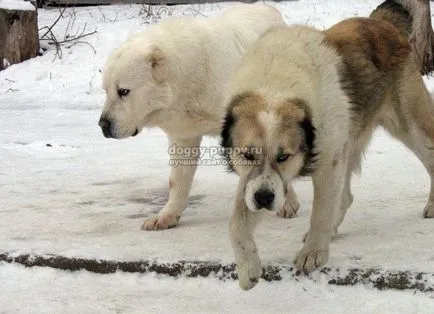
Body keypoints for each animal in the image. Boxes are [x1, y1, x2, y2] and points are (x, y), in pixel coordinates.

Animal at [98, 3, 288, 231]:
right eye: (106, 90)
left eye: (124, 91)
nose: (103, 125)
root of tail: (267, 7)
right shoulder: (182, 134)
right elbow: (177, 180)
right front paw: (167, 215)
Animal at [222, 14, 434, 290]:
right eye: (248, 155)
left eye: (283, 156)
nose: (264, 199)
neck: (274, 86)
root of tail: (380, 21)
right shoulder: (253, 181)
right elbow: (236, 223)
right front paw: (248, 267)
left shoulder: (327, 163)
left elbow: (320, 213)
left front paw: (314, 253)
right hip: (348, 141)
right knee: (345, 197)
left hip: (411, 127)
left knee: (430, 160)